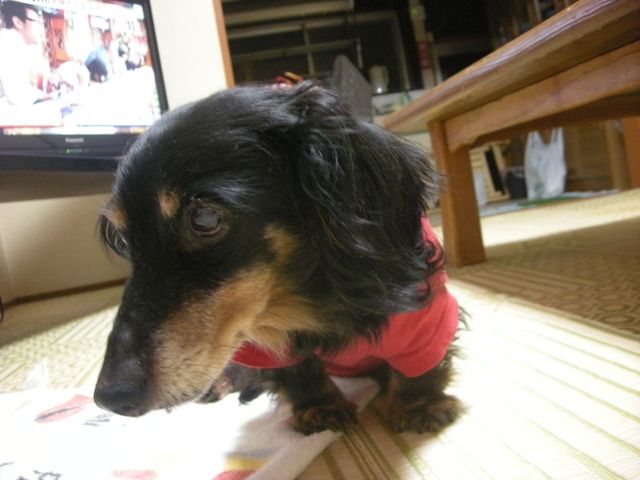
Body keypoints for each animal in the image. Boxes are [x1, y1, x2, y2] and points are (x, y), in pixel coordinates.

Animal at [94, 82, 462, 435]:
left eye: (205, 218)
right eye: (124, 239)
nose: (110, 397)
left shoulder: (427, 320)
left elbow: (419, 364)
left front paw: (420, 405)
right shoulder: (261, 342)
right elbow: (296, 371)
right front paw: (319, 408)